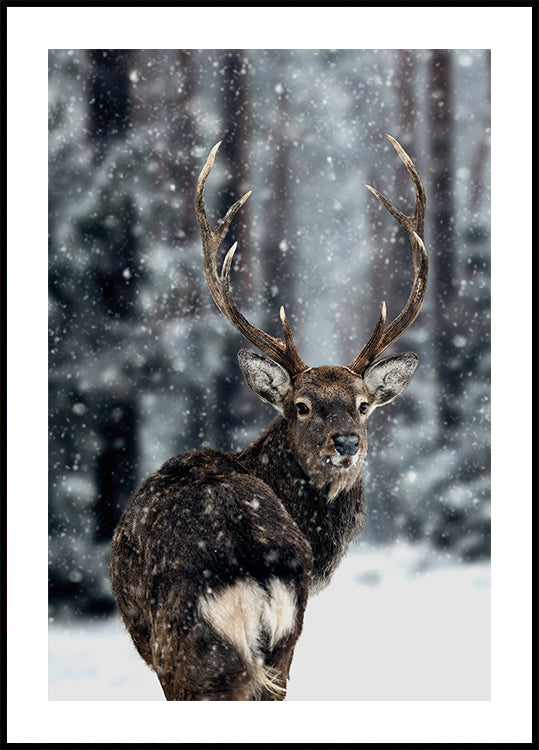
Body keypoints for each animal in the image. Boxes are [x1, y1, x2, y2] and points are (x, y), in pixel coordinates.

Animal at [109, 134, 428, 701]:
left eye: (363, 404)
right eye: (302, 406)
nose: (347, 442)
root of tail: (250, 570)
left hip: (183, 652)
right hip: (280, 646)